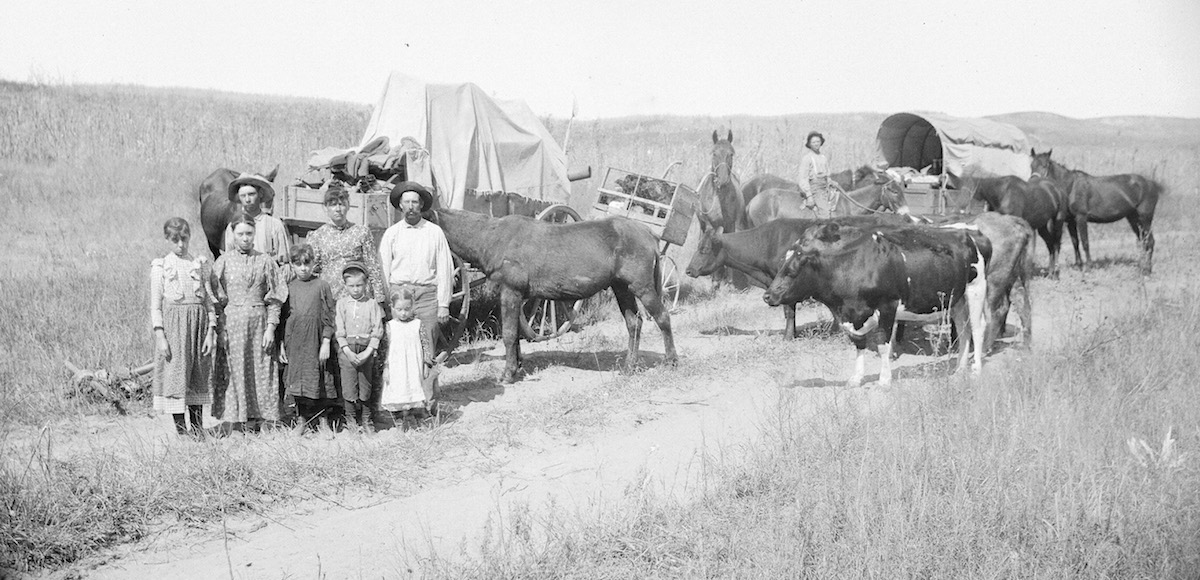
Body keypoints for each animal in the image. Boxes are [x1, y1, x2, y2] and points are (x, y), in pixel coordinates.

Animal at [434, 207, 681, 381]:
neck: (492, 237)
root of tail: (648, 233)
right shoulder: (516, 297)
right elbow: (516, 335)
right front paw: (517, 366)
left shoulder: (510, 292)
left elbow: (509, 334)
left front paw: (508, 373)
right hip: (622, 289)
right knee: (634, 323)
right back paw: (630, 366)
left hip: (643, 288)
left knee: (662, 318)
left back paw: (672, 361)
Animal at [763, 222, 988, 391]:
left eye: (794, 268)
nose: (767, 295)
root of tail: (966, 231)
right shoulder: (852, 315)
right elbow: (859, 344)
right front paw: (856, 378)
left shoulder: (888, 306)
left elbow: (883, 346)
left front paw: (884, 380)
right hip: (956, 299)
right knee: (964, 330)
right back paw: (959, 370)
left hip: (976, 289)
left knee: (977, 328)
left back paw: (976, 370)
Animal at [1032, 150, 1161, 277]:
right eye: (1032, 165)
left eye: (1045, 165)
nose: (1033, 181)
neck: (1070, 187)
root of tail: (1152, 183)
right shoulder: (1070, 221)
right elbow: (1075, 242)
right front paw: (1078, 265)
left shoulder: (1081, 217)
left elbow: (1085, 242)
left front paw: (1088, 267)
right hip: (1133, 219)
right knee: (1143, 241)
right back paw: (1143, 268)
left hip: (1145, 219)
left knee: (1150, 241)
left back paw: (1147, 270)